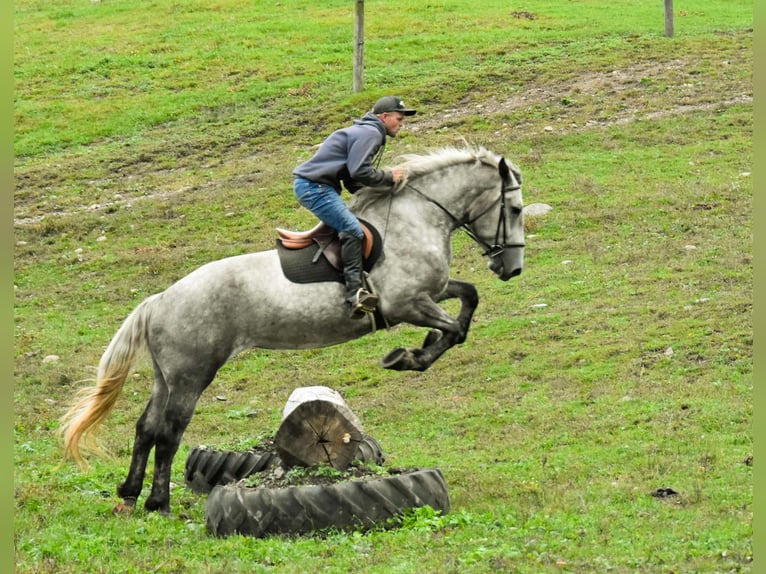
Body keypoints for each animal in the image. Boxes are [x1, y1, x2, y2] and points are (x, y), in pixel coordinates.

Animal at [63, 146, 524, 516]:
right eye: (516, 210)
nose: (512, 268)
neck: (416, 218)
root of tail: (160, 299)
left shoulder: (431, 292)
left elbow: (468, 299)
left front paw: (418, 350)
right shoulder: (406, 304)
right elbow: (454, 330)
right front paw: (408, 357)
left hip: (167, 376)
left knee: (145, 428)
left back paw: (129, 494)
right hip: (192, 374)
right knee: (168, 431)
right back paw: (158, 502)